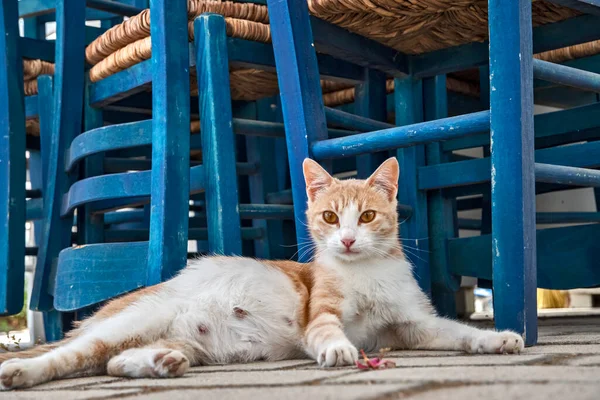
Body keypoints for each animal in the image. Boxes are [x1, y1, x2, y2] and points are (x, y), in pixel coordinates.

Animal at [0, 157, 520, 390]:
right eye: (330, 218)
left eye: (368, 217)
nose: (348, 240)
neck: (365, 271)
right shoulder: (320, 313)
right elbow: (326, 330)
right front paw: (337, 349)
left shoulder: (412, 325)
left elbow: (455, 331)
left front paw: (497, 339)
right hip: (134, 319)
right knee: (74, 355)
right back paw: (21, 370)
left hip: (175, 338)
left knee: (110, 362)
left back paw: (158, 362)